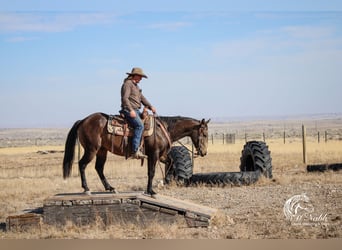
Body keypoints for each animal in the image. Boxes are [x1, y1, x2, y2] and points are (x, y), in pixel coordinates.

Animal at [62, 112, 210, 196]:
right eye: (204, 134)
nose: (204, 152)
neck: (163, 128)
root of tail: (82, 121)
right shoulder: (154, 154)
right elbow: (151, 172)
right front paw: (150, 191)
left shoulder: (161, 155)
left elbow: (171, 163)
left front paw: (166, 180)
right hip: (91, 149)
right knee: (82, 165)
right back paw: (86, 188)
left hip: (102, 151)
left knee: (99, 168)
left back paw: (110, 188)